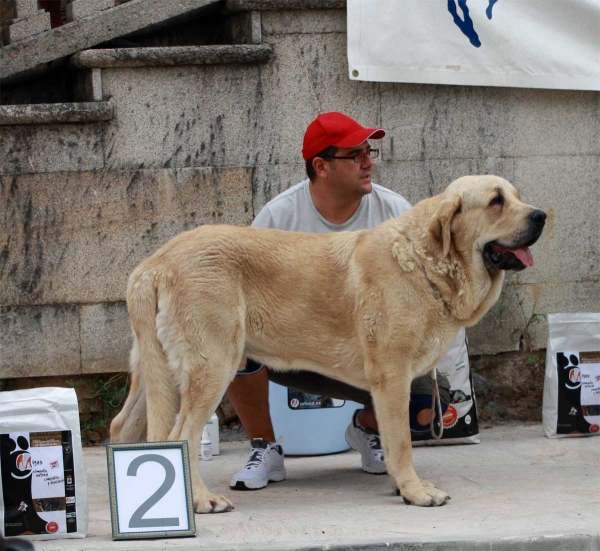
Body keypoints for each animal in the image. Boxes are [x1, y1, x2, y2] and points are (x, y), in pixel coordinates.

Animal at [110, 176, 548, 512]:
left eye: (517, 195)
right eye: (496, 201)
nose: (542, 214)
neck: (425, 263)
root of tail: (155, 263)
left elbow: (393, 442)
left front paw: (400, 484)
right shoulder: (393, 377)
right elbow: (403, 443)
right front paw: (415, 492)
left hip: (158, 373)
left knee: (124, 427)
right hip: (215, 363)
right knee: (181, 433)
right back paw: (201, 500)